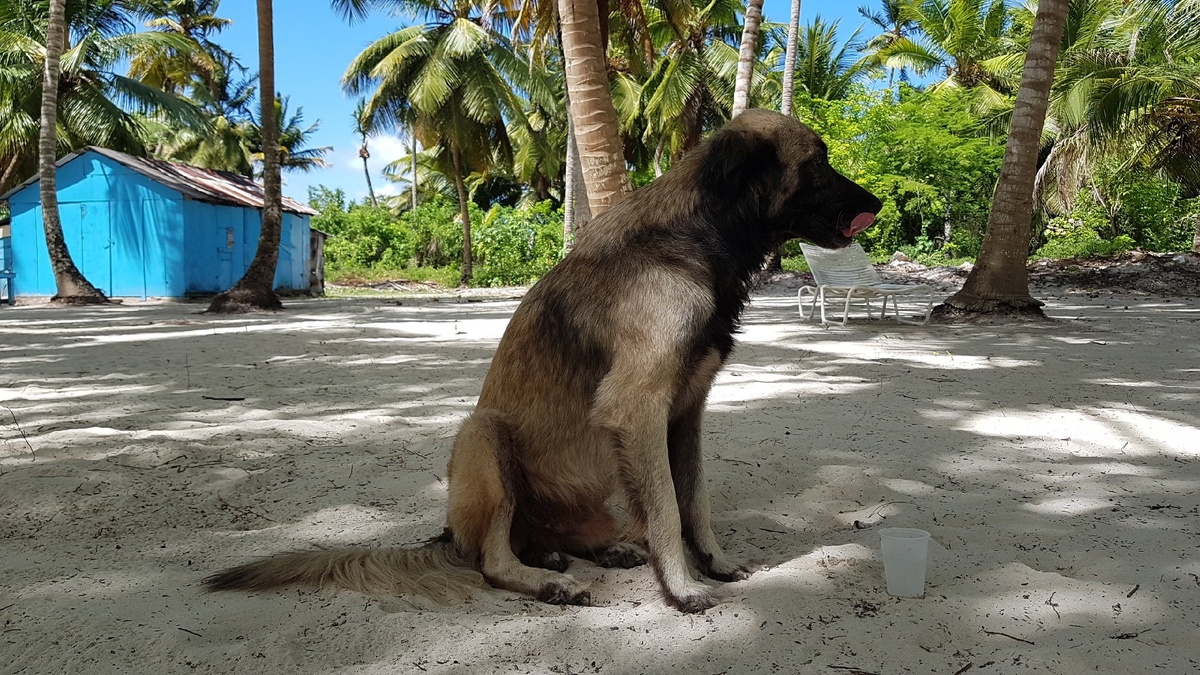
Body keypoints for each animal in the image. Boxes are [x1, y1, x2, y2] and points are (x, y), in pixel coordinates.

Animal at [204, 109, 883, 610]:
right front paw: (681, 586)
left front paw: (711, 561)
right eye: (817, 163)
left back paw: (587, 551)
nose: (877, 202)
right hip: (483, 437)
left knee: (552, 537)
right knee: (491, 559)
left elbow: (694, 500)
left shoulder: (686, 412)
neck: (696, 236)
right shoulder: (639, 408)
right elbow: (666, 507)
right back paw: (548, 579)